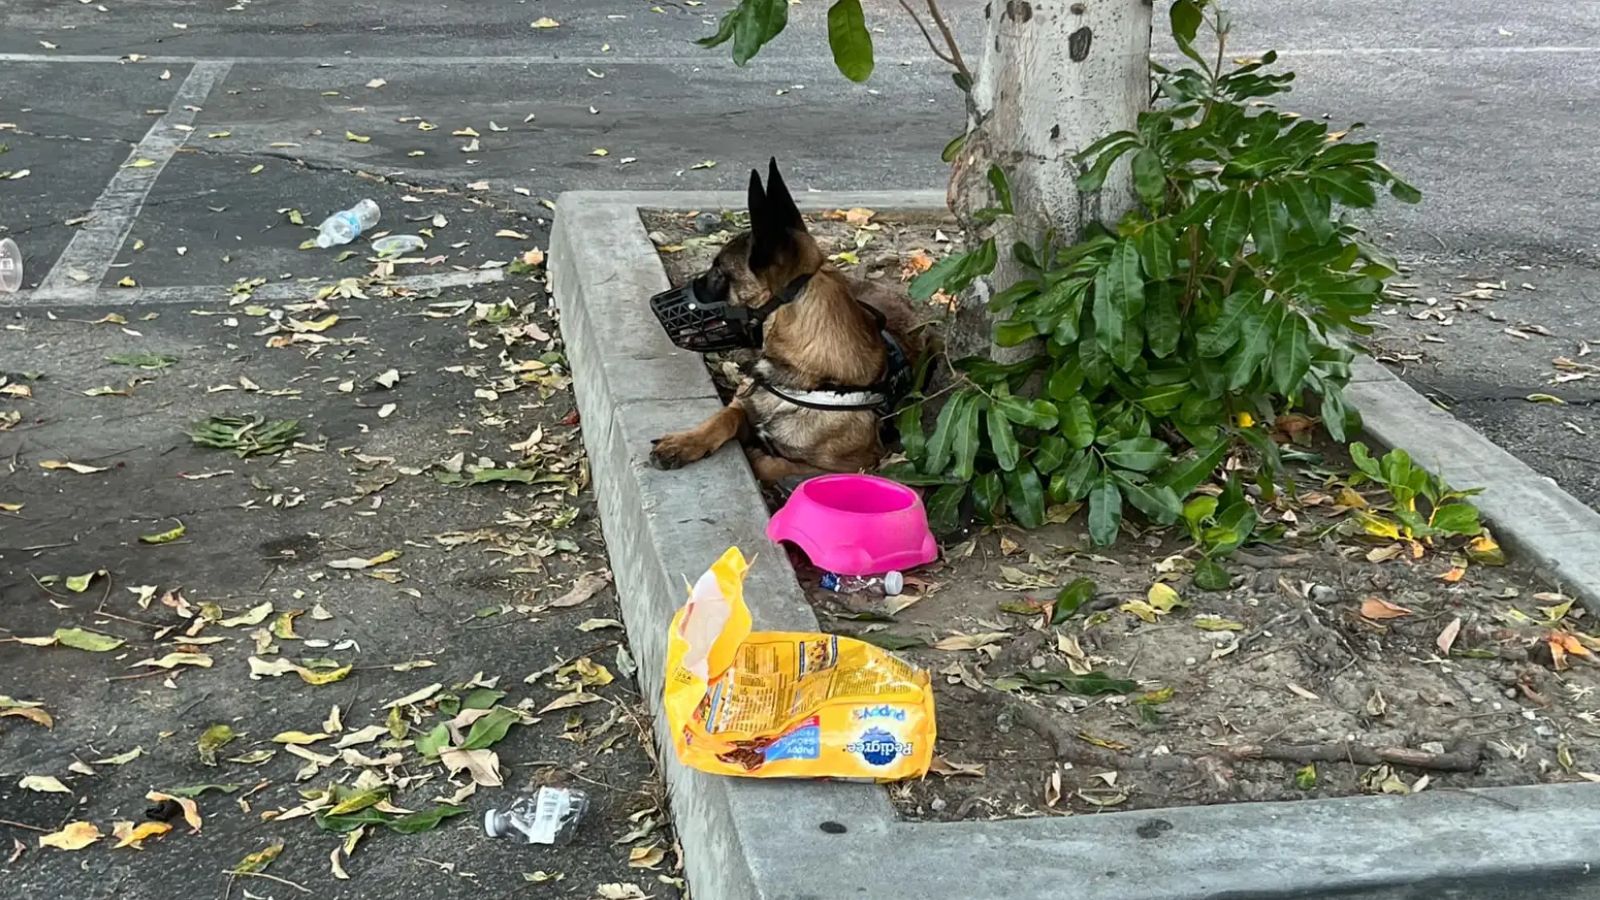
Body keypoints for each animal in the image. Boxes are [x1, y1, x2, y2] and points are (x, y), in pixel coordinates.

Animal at [649, 160, 928, 483]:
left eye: (718, 273)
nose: (653, 302)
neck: (802, 376)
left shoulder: (854, 466)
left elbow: (772, 464)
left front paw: (756, 455)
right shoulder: (743, 405)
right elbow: (724, 416)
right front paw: (685, 442)